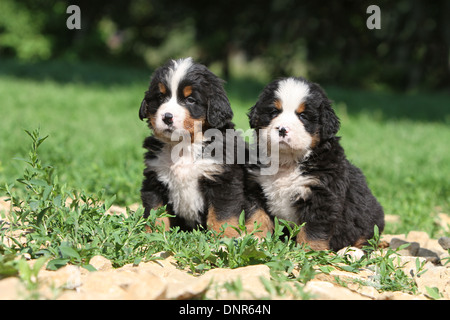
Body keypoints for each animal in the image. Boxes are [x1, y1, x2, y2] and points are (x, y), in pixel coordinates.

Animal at [139, 57, 268, 236]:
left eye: (190, 100)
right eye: (160, 96)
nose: (167, 117)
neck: (184, 146)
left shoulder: (223, 180)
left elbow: (222, 216)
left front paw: (225, 237)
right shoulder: (154, 180)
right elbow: (156, 213)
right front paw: (153, 235)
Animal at [246, 77, 384, 250]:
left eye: (303, 116)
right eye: (274, 112)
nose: (283, 129)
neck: (287, 162)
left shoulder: (321, 196)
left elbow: (312, 230)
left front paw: (308, 251)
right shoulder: (256, 187)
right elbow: (257, 217)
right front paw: (253, 239)